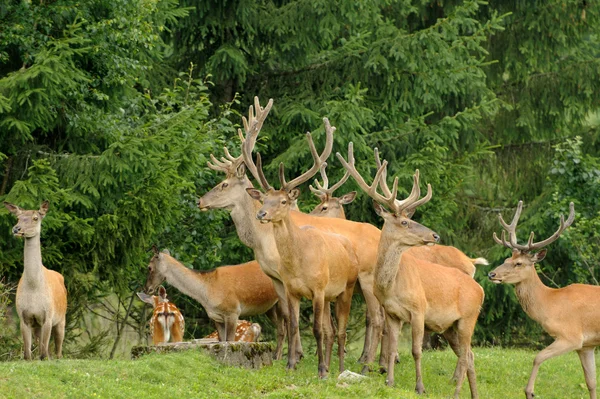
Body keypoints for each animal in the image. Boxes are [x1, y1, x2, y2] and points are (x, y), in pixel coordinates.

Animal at [3, 202, 68, 360]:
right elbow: (28, 355)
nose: (16, 229)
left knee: (58, 348)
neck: (33, 288)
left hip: (62, 317)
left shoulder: (48, 316)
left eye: (35, 218)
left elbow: (44, 354)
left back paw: (57, 357)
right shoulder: (24, 316)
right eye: (18, 217)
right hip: (37, 324)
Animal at [143, 248, 282, 348]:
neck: (207, 294)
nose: (146, 288)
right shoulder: (216, 316)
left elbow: (229, 341)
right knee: (281, 329)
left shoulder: (233, 311)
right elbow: (222, 341)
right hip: (271, 307)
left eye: (149, 267)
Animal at [243, 123, 358, 380]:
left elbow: (315, 329)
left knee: (341, 330)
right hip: (330, 296)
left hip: (347, 288)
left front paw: (321, 370)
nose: (261, 214)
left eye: (284, 201)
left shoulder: (318, 288)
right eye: (264, 199)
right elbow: (294, 325)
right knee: (331, 330)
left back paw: (340, 369)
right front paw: (290, 364)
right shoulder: (292, 290)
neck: (298, 262)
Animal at [336, 145, 486, 399]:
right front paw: (389, 381)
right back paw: (473, 395)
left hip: (468, 317)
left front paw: (420, 387)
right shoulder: (393, 314)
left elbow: (416, 350)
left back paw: (456, 393)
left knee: (467, 356)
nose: (435, 235)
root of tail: (481, 290)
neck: (392, 286)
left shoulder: (419, 309)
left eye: (409, 219)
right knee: (470, 356)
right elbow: (393, 347)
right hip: (452, 326)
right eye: (404, 223)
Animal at [490, 202, 596, 399]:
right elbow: (591, 383)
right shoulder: (586, 345)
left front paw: (529, 391)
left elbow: (537, 357)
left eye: (518, 263)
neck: (550, 303)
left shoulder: (572, 336)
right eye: (506, 258)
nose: (491, 274)